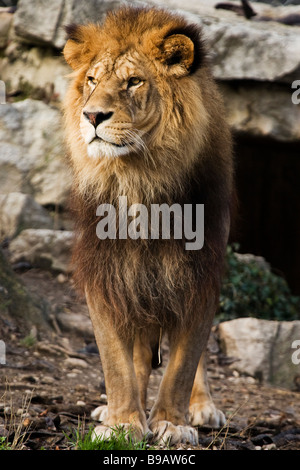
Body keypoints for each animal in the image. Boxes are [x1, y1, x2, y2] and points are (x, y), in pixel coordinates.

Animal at [62, 5, 234, 446]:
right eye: (92, 80)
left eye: (133, 82)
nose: (92, 115)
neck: (138, 176)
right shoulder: (107, 274)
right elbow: (116, 361)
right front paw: (123, 423)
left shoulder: (199, 273)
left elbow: (184, 362)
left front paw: (173, 423)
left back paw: (202, 408)